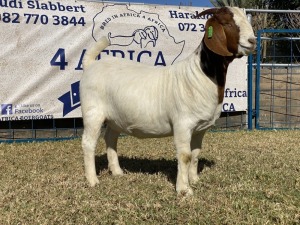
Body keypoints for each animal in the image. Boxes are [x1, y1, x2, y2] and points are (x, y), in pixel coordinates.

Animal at [80, 6, 255, 194]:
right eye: (227, 23)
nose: (252, 41)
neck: (200, 74)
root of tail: (91, 64)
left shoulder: (200, 128)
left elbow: (195, 154)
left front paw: (194, 180)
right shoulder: (183, 124)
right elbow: (185, 156)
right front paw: (184, 190)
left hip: (115, 118)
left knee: (111, 138)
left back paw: (117, 172)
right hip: (93, 112)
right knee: (88, 143)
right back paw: (93, 180)